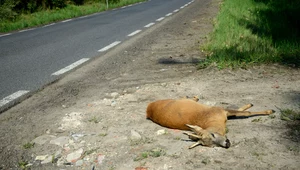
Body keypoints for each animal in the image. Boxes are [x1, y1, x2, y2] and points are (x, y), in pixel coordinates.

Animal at [145, 97, 274, 149]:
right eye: (212, 145)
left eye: (212, 134)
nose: (226, 144)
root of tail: (148, 108)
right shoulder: (222, 112)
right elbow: (239, 113)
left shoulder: (220, 110)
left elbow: (245, 113)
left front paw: (270, 111)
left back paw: (195, 97)